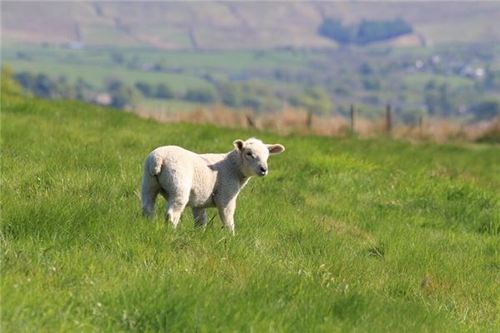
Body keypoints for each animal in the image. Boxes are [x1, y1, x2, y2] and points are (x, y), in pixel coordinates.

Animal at [141, 137, 286, 233]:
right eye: (249, 154)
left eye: (267, 155)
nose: (263, 169)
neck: (233, 167)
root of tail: (158, 158)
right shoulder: (226, 196)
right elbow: (228, 220)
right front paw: (231, 238)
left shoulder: (198, 201)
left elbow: (201, 220)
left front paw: (199, 235)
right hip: (178, 185)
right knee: (172, 214)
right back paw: (171, 233)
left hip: (148, 183)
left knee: (148, 208)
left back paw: (149, 226)